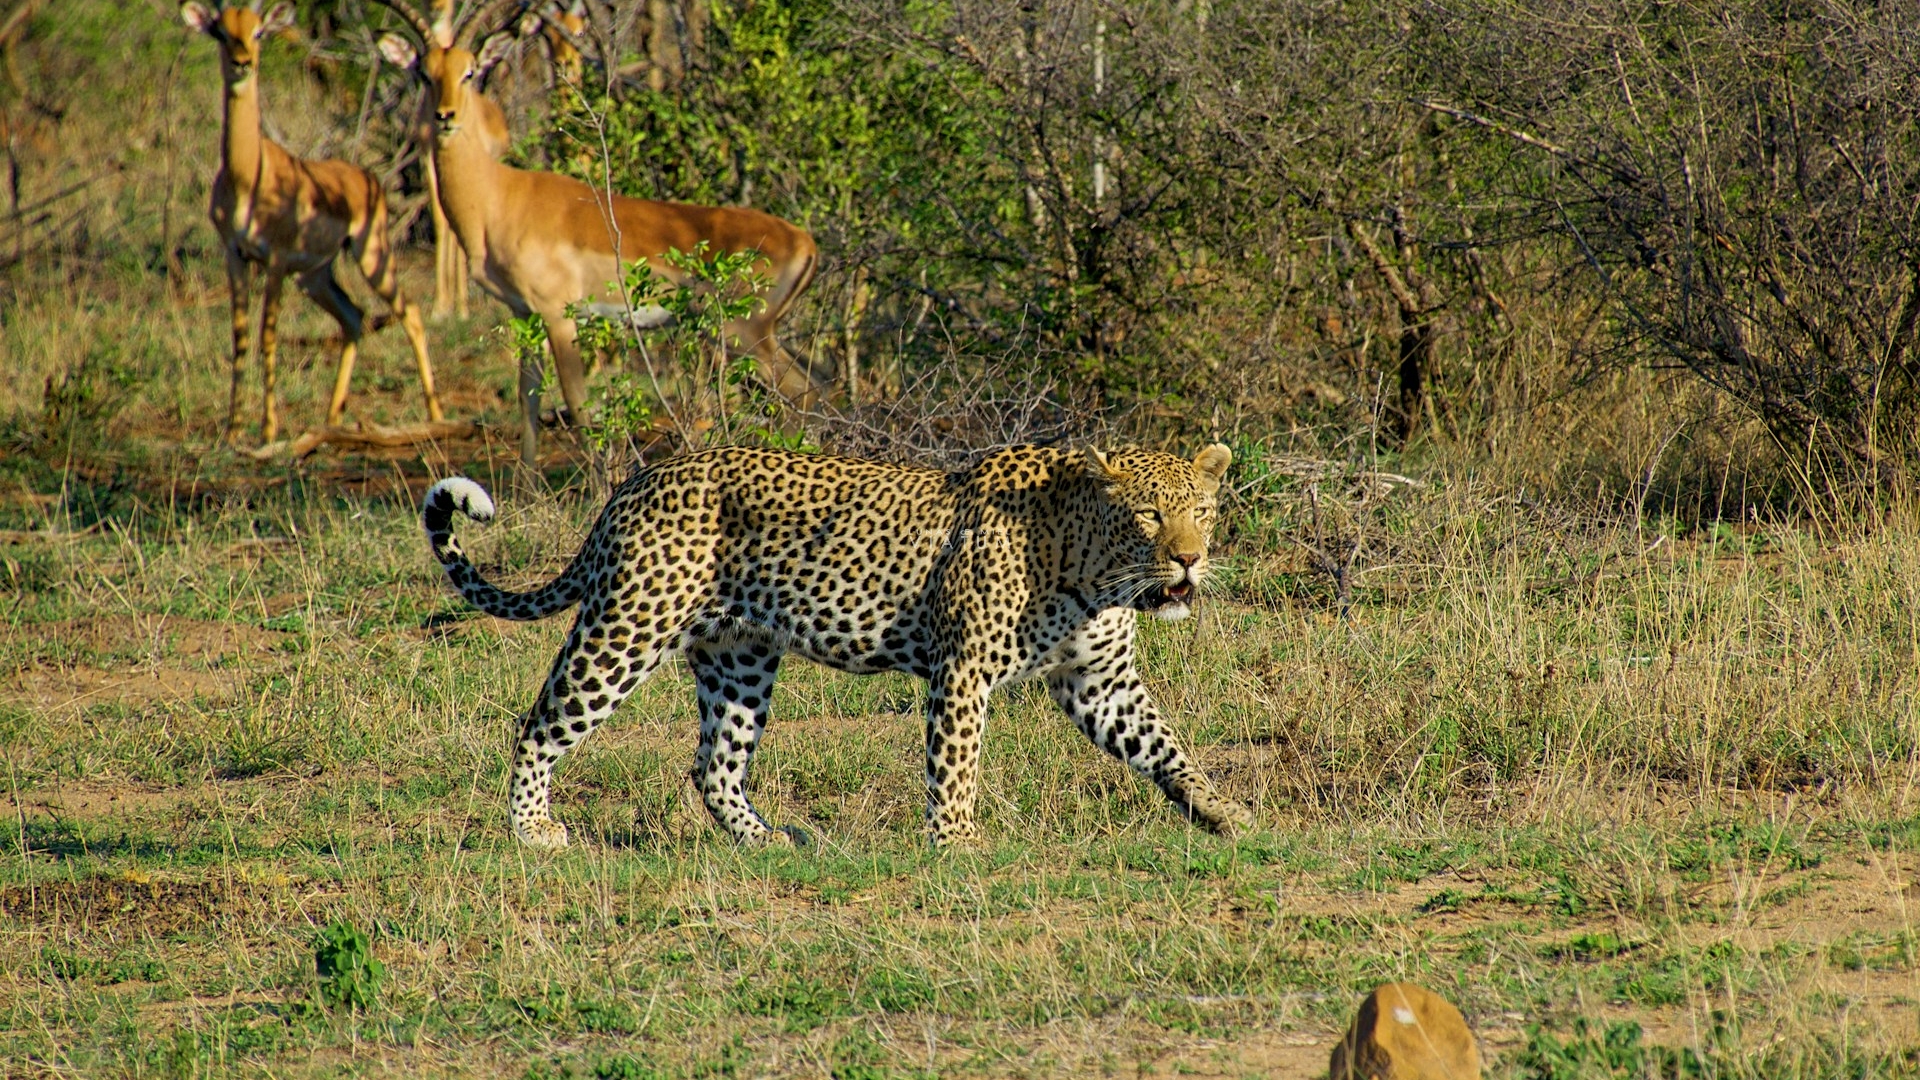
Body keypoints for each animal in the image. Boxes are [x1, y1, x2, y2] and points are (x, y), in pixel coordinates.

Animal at [424, 441, 1259, 845]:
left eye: (1202, 510)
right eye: (1148, 515)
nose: (1190, 559)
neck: (1096, 569)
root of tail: (634, 484)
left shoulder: (1100, 682)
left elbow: (1166, 745)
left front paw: (1222, 813)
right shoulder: (962, 671)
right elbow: (956, 768)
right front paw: (957, 845)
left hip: (739, 655)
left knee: (713, 765)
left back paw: (767, 842)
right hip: (628, 628)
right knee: (539, 724)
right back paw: (533, 831)